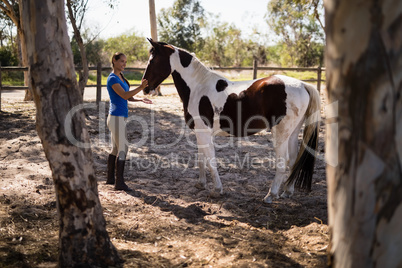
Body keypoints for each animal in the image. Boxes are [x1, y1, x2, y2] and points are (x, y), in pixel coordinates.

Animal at [141, 38, 320, 203]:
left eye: (153, 60)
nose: (145, 88)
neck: (198, 86)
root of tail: (303, 85)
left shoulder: (204, 133)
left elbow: (211, 160)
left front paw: (217, 190)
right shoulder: (201, 133)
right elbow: (202, 159)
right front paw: (201, 184)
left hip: (281, 133)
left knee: (283, 162)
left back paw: (271, 195)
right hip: (293, 133)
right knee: (294, 159)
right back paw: (287, 192)